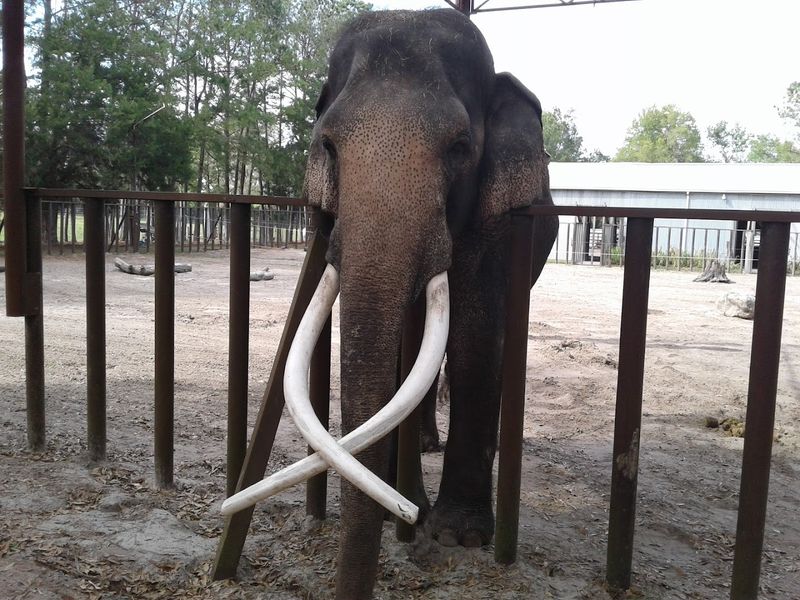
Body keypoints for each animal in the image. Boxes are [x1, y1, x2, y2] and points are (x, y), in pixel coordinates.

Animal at [302, 8, 557, 599]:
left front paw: (458, 536)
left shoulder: (495, 219)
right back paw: (419, 453)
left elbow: (475, 336)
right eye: (328, 146)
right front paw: (401, 508)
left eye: (460, 147)